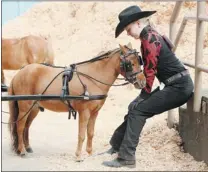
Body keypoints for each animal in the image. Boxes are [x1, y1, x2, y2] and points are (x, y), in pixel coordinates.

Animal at [7, 43, 145, 161]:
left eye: (139, 61)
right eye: (130, 63)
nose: (143, 82)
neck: (93, 77)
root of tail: (19, 73)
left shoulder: (94, 112)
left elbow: (90, 133)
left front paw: (89, 153)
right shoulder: (84, 112)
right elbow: (81, 134)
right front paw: (78, 156)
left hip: (33, 109)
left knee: (26, 127)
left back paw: (27, 147)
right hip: (25, 107)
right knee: (20, 126)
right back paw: (22, 150)